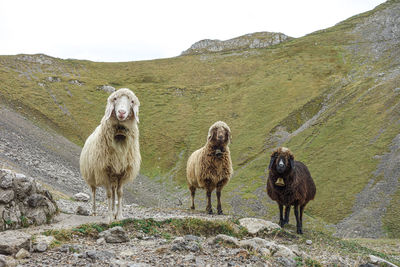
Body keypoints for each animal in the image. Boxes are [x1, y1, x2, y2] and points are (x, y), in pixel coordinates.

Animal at [79, 88, 141, 224]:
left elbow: (120, 193)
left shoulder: (122, 171)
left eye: (131, 101)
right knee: (94, 192)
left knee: (113, 192)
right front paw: (108, 218)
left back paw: (113, 211)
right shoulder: (104, 170)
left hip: (114, 176)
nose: (122, 112)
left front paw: (119, 215)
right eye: (115, 99)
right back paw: (94, 211)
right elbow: (107, 194)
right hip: (92, 175)